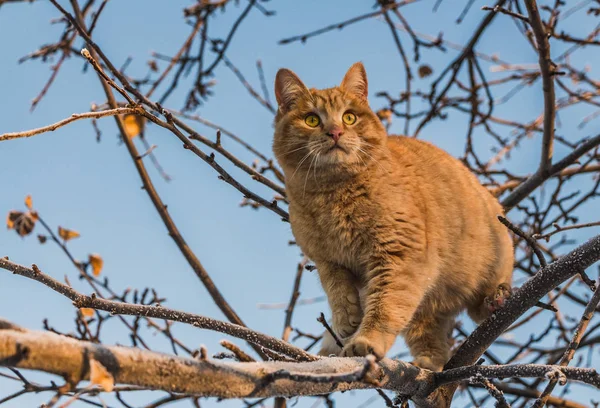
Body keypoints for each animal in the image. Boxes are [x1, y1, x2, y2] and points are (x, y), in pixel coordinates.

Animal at [274, 63, 512, 370]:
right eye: (312, 120)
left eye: (349, 117)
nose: (335, 132)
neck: (332, 194)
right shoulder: (327, 261)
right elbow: (336, 291)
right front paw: (346, 319)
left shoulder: (399, 256)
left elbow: (384, 308)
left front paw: (366, 341)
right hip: (425, 312)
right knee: (432, 341)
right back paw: (426, 365)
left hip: (493, 260)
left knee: (481, 309)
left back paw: (497, 299)